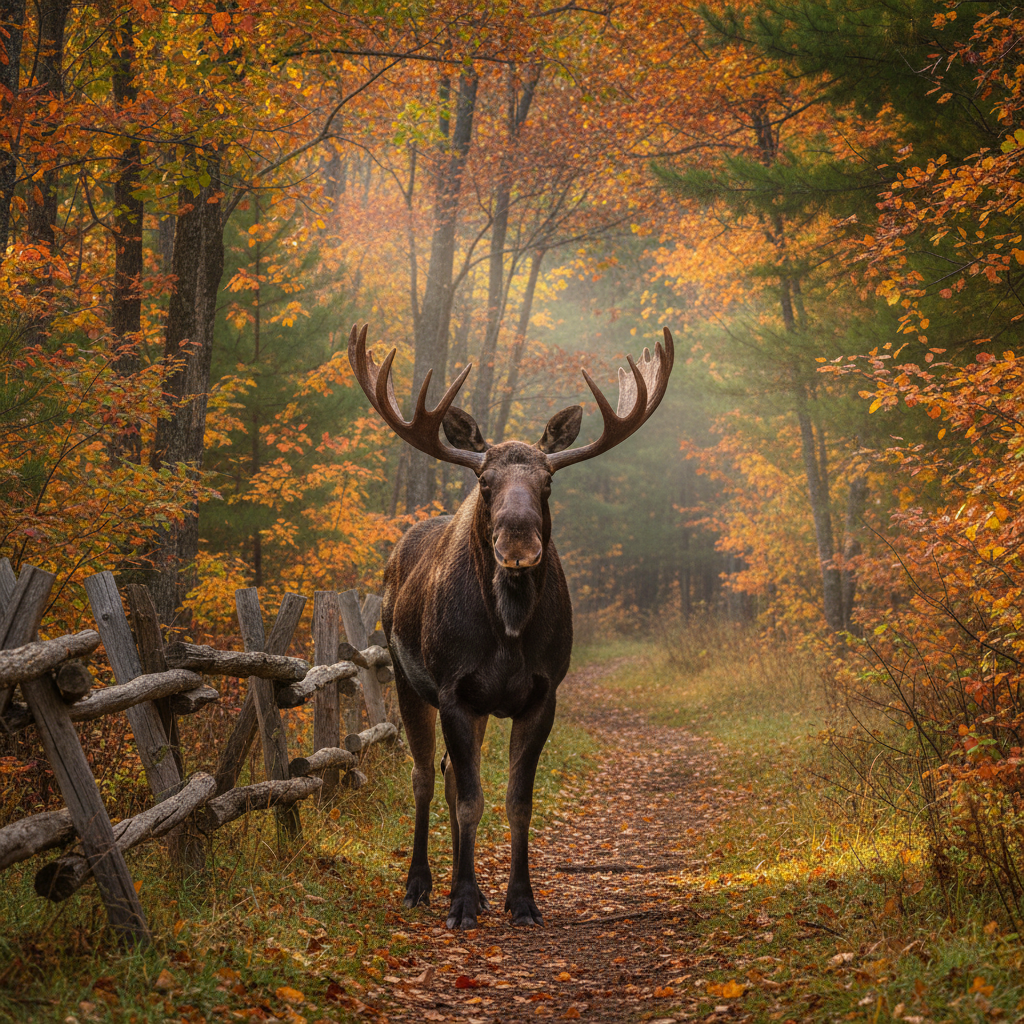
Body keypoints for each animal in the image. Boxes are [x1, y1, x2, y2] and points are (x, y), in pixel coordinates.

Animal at [347, 322, 674, 929]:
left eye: (548, 482)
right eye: (484, 481)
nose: (518, 541)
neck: (508, 633)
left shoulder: (543, 693)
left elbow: (517, 801)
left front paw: (519, 899)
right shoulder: (453, 689)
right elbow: (470, 799)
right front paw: (461, 902)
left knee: (450, 772)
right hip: (406, 678)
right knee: (425, 777)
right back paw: (420, 883)